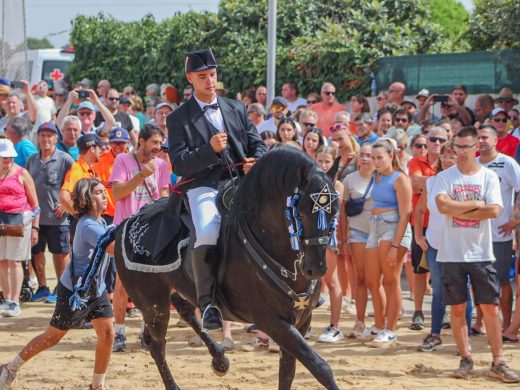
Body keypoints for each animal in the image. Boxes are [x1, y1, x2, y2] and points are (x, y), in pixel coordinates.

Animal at [102, 148, 342, 388]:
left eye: (335, 212)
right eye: (300, 212)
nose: (316, 269)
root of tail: (124, 224)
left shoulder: (301, 318)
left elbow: (288, 372)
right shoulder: (272, 321)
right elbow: (320, 367)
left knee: (184, 308)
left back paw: (219, 358)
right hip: (153, 305)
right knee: (157, 345)